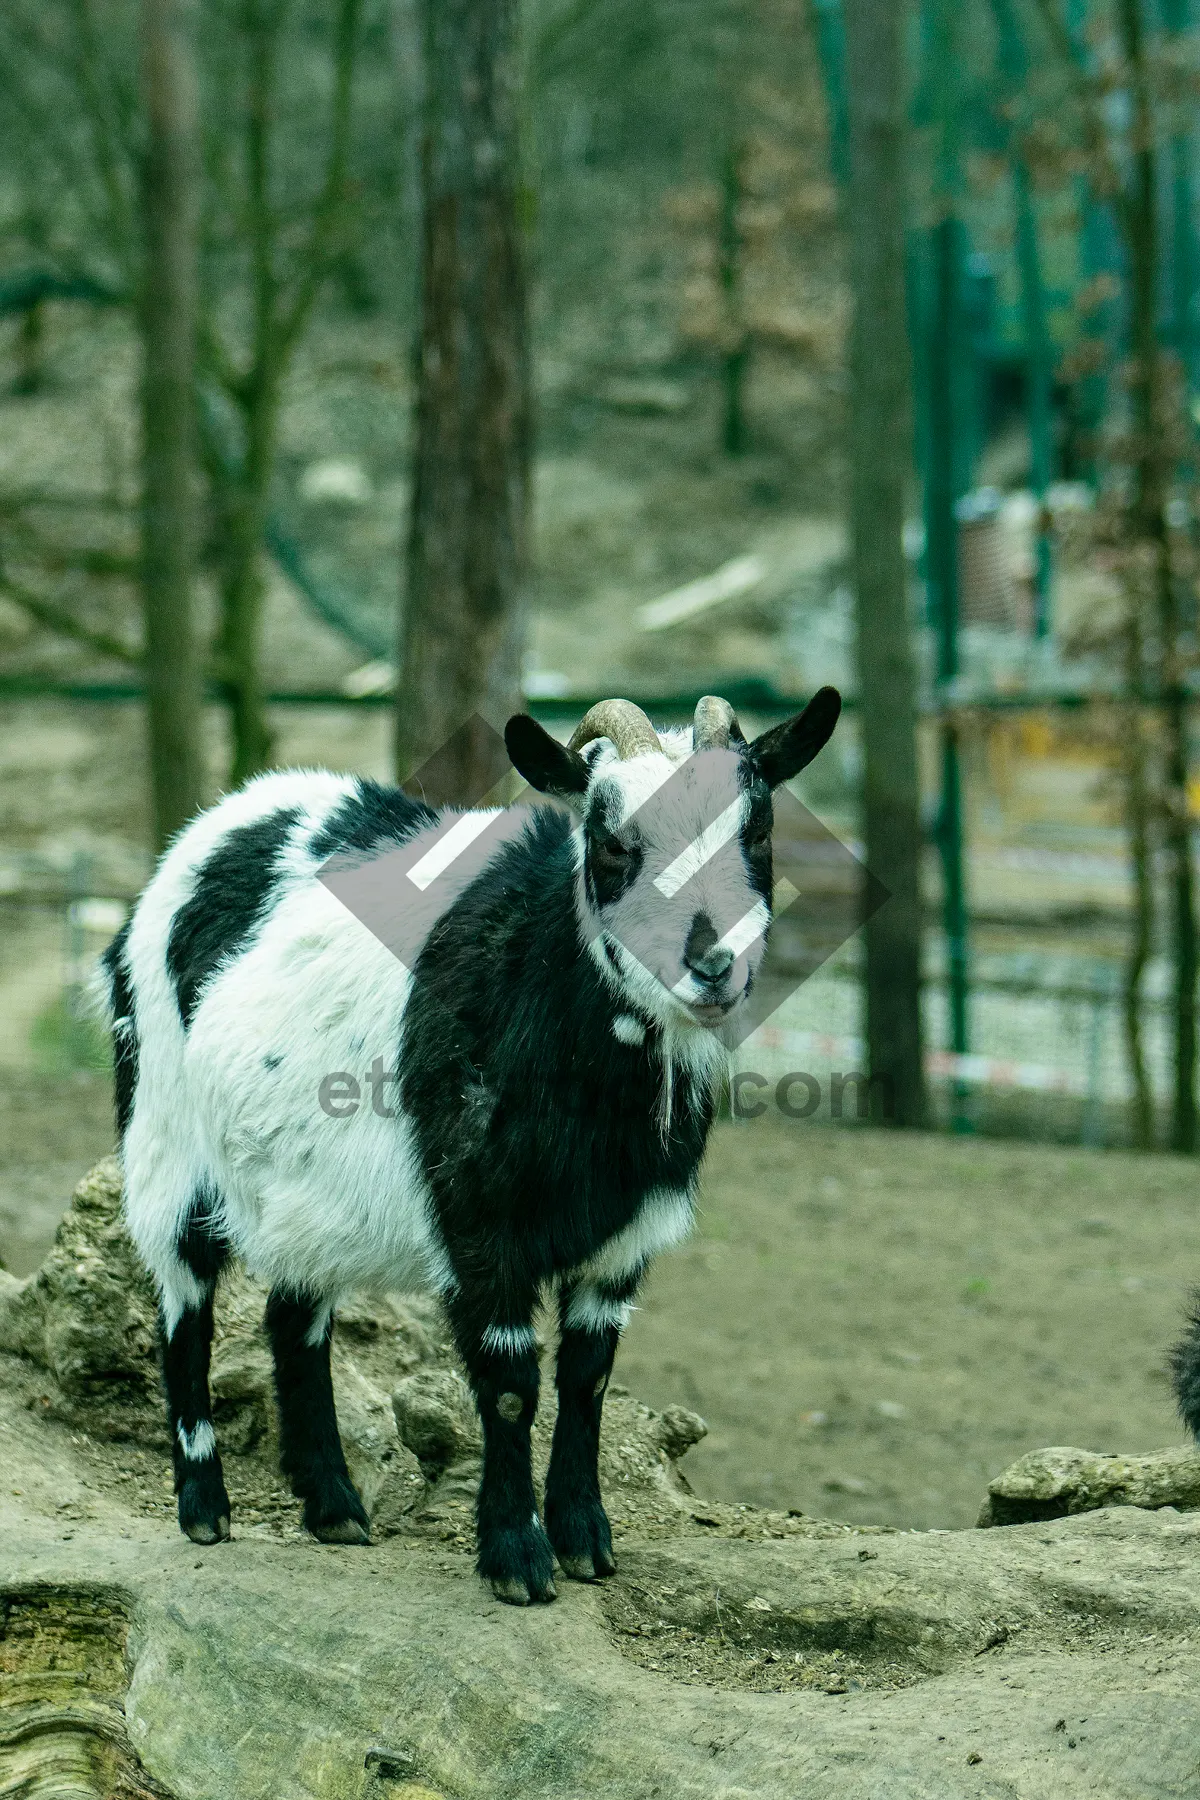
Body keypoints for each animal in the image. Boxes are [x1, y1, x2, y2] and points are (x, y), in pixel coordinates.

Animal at [103, 687, 841, 1605]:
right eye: (610, 843)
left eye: (759, 832)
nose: (712, 965)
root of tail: (215, 825)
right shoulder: (479, 1220)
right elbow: (513, 1384)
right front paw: (516, 1557)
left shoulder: (626, 1238)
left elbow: (588, 1376)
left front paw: (585, 1541)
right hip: (165, 1137)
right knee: (184, 1306)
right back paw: (206, 1507)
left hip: (301, 1186)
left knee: (293, 1317)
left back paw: (334, 1507)